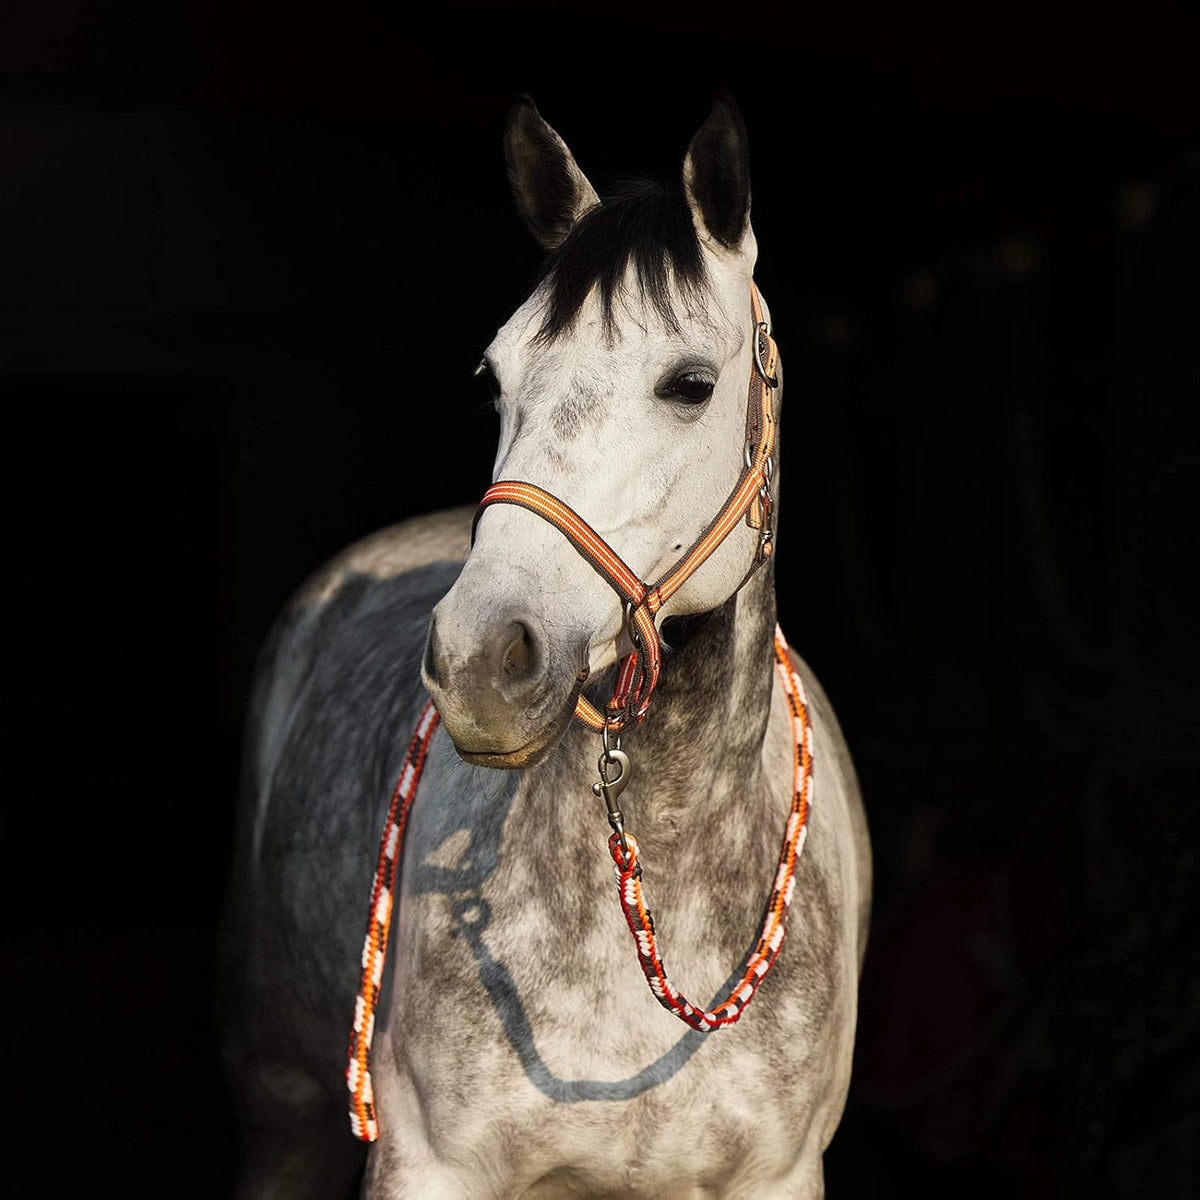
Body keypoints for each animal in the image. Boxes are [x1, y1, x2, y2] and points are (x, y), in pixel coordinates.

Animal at [220, 93, 872, 1199]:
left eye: (689, 384)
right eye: (497, 376)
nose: (483, 659)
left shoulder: (777, 1176)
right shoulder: (429, 1166)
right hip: (280, 1106)